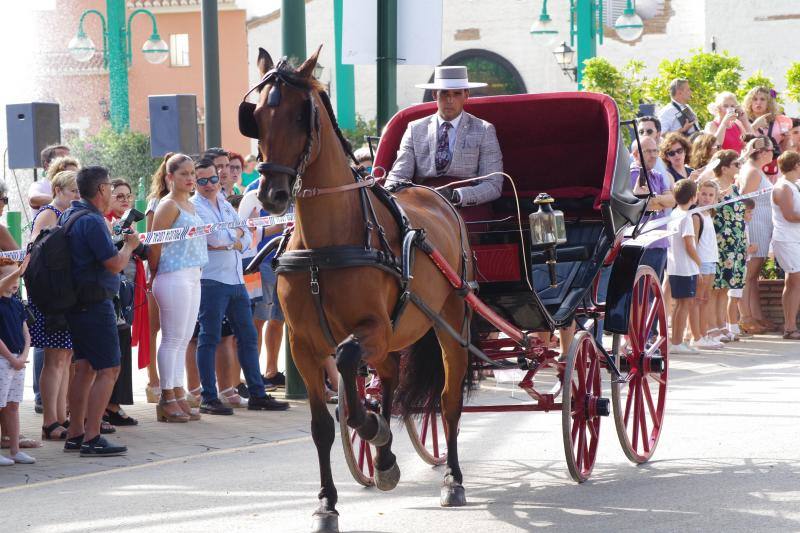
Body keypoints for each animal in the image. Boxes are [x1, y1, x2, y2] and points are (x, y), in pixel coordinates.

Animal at [250, 46, 472, 532]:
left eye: (301, 115)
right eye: (254, 116)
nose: (272, 194)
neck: (324, 248)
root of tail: (440, 196)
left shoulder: (371, 329)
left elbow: (351, 381)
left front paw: (372, 428)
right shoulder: (303, 345)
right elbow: (323, 425)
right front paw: (326, 504)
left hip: (449, 324)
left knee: (448, 403)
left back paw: (452, 478)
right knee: (387, 375)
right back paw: (385, 460)